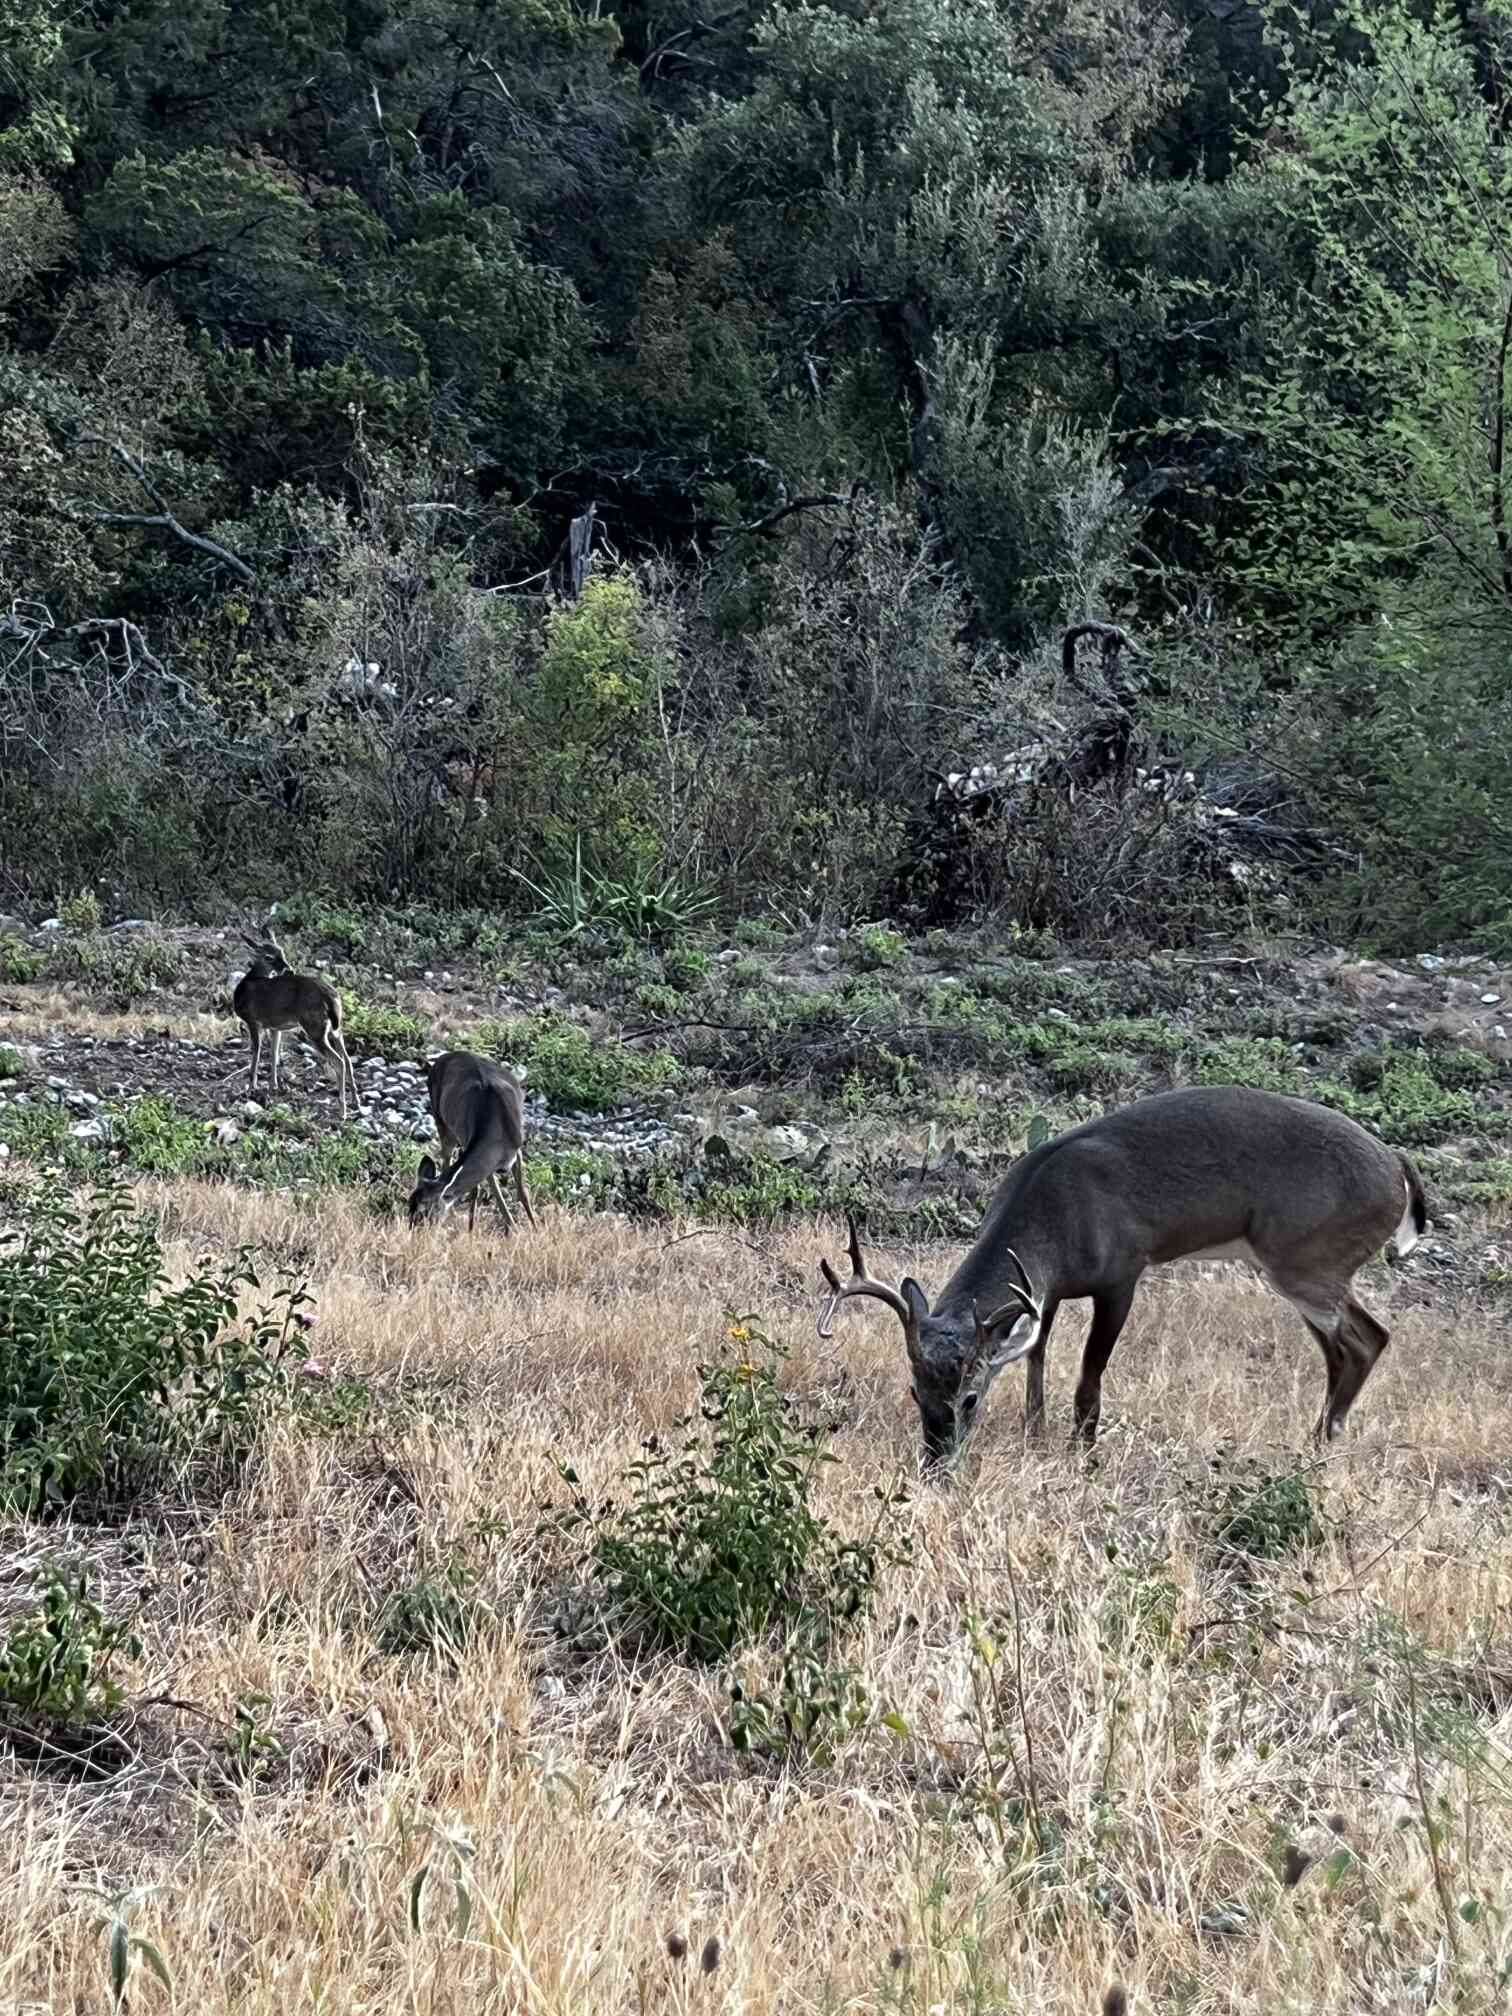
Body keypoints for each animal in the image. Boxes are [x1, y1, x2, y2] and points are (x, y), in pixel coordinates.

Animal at [233, 934, 359, 1118]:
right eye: (269, 956)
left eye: (282, 953)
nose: (289, 969)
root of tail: (331, 997)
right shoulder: (274, 1027)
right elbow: (274, 1054)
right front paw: (273, 1086)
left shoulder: (253, 1021)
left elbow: (256, 1053)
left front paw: (251, 1087)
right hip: (337, 1029)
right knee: (348, 1059)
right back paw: (356, 1101)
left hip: (315, 1028)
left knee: (339, 1061)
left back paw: (342, 1111)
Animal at [408, 1050, 537, 1233]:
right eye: (409, 1205)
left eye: (424, 1211)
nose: (412, 1231)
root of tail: (441, 1058)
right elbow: (490, 1192)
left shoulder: (516, 1148)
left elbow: (522, 1192)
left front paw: (535, 1229)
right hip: (442, 1122)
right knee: (447, 1161)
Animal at [816, 1085, 1427, 1473]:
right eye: (915, 1391)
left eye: (969, 1398)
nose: (936, 1464)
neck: (1056, 1212)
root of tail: (1399, 1168)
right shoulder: (1043, 1291)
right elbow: (1036, 1359)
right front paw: (1035, 1434)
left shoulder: (1122, 1274)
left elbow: (1090, 1377)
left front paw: (1084, 1453)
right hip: (1302, 1268)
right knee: (1344, 1348)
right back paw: (1318, 1437)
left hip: (1308, 1259)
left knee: (1368, 1338)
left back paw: (1327, 1439)